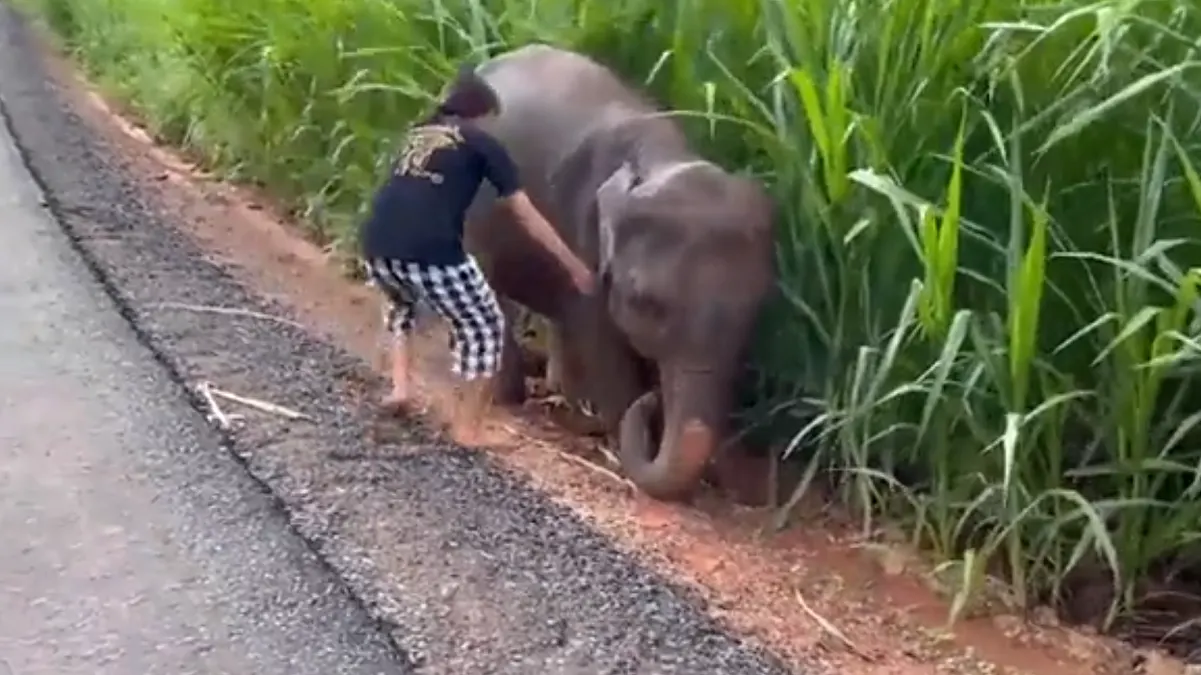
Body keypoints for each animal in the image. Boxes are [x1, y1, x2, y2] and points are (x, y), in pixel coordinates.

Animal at [463, 45, 776, 502]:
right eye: (646, 302)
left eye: (752, 314)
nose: (654, 401)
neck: (658, 157)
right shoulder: (580, 244)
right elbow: (601, 343)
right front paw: (624, 420)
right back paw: (509, 395)